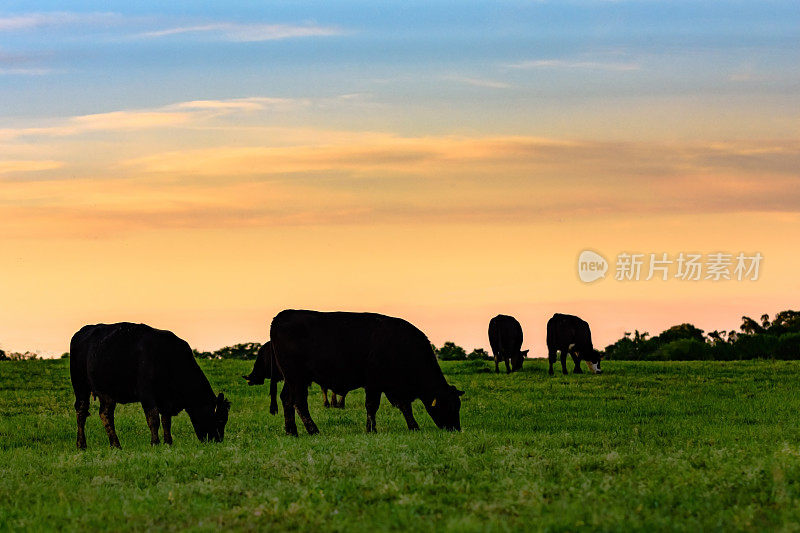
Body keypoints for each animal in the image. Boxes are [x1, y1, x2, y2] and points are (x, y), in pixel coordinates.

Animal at [70, 322, 230, 446]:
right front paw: (155, 443)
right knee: (81, 411)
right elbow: (153, 418)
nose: (218, 440)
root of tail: (84, 330)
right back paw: (81, 445)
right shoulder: (146, 394)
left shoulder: (166, 399)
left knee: (105, 414)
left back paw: (116, 445)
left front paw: (168, 442)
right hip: (80, 385)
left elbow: (166, 420)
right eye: (220, 419)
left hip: (107, 392)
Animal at [272, 310, 466, 434]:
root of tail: (282, 316)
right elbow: (372, 406)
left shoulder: (395, 388)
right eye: (448, 406)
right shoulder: (374, 384)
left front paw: (414, 427)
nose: (455, 429)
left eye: (458, 405)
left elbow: (405, 407)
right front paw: (371, 429)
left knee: (287, 400)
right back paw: (313, 430)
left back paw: (292, 431)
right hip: (297, 378)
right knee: (299, 402)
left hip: (292, 379)